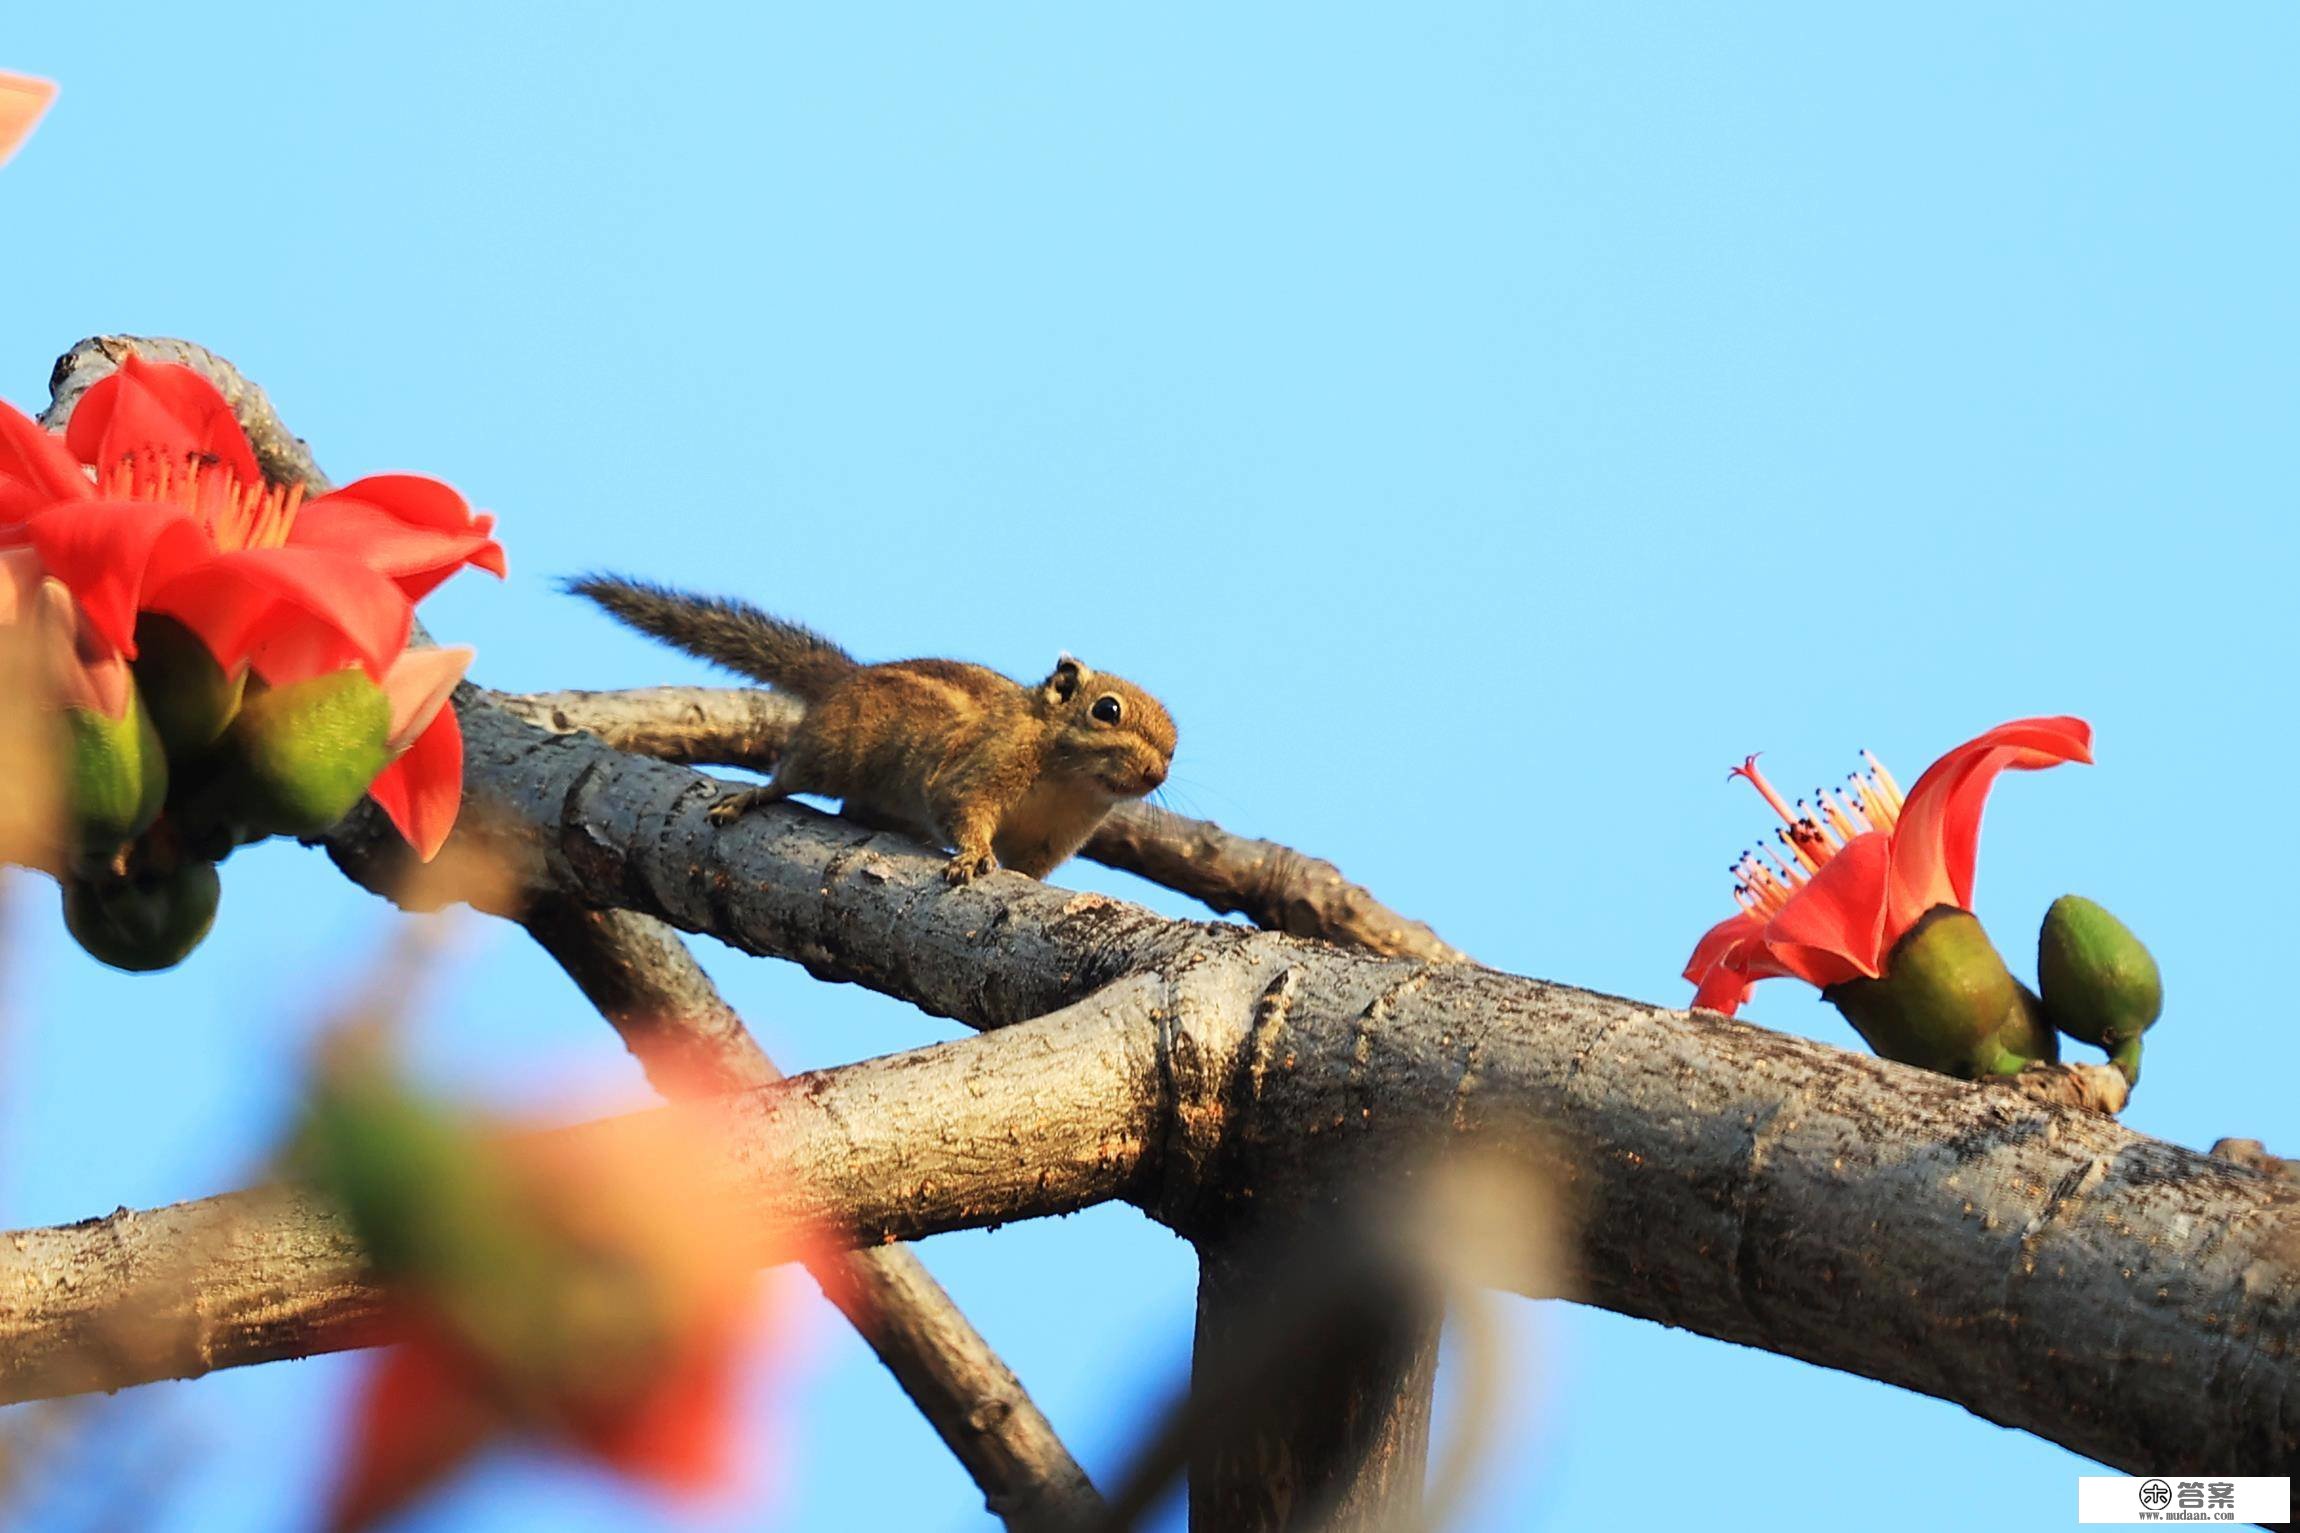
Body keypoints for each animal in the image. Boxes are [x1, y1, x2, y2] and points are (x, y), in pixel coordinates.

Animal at [565, 574, 1177, 887]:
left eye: (1173, 750)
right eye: (1107, 711)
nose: (1156, 772)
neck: (1068, 777)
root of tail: (845, 681)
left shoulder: (1051, 837)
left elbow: (1029, 869)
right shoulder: (982, 764)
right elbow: (963, 806)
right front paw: (973, 855)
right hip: (829, 748)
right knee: (790, 774)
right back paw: (753, 797)